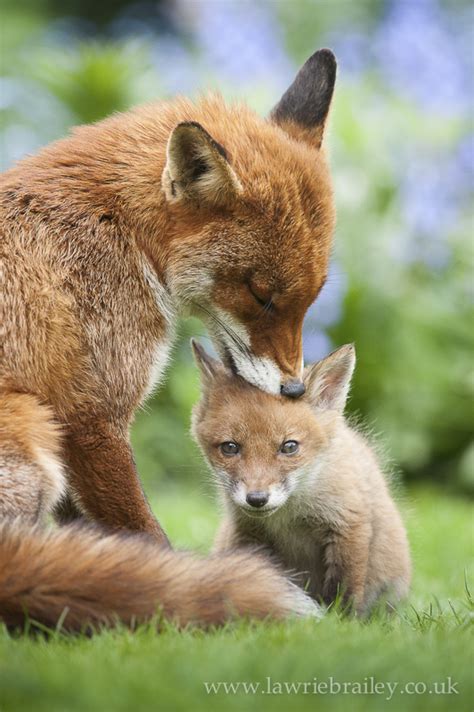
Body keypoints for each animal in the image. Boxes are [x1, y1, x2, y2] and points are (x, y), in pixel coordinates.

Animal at [0, 50, 336, 540]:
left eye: (313, 298)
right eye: (260, 295)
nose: (293, 389)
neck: (121, 232)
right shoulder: (92, 420)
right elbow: (147, 537)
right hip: (31, 431)